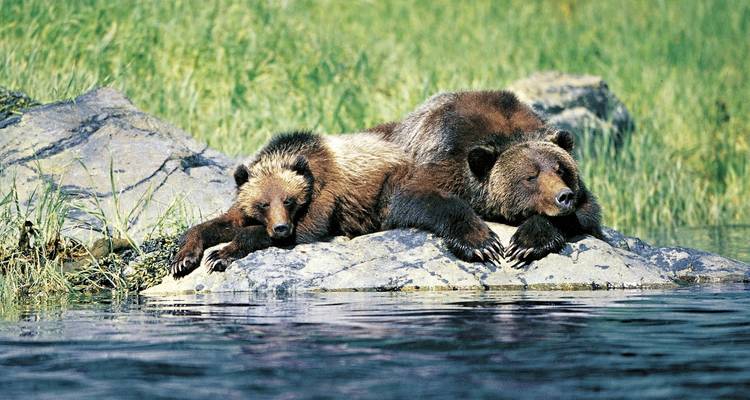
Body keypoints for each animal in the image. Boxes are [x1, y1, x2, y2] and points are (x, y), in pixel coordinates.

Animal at [169, 131, 504, 278]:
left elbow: (309, 228)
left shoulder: (326, 190)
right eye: (263, 203)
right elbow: (220, 222)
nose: (280, 228)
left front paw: (220, 255)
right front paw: (183, 259)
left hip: (393, 186)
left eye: (289, 200)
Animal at [369, 90, 603, 265]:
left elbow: (585, 211)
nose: (564, 196)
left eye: (560, 169)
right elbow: (416, 195)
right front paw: (482, 244)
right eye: (531, 176)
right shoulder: (447, 155)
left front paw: (526, 244)